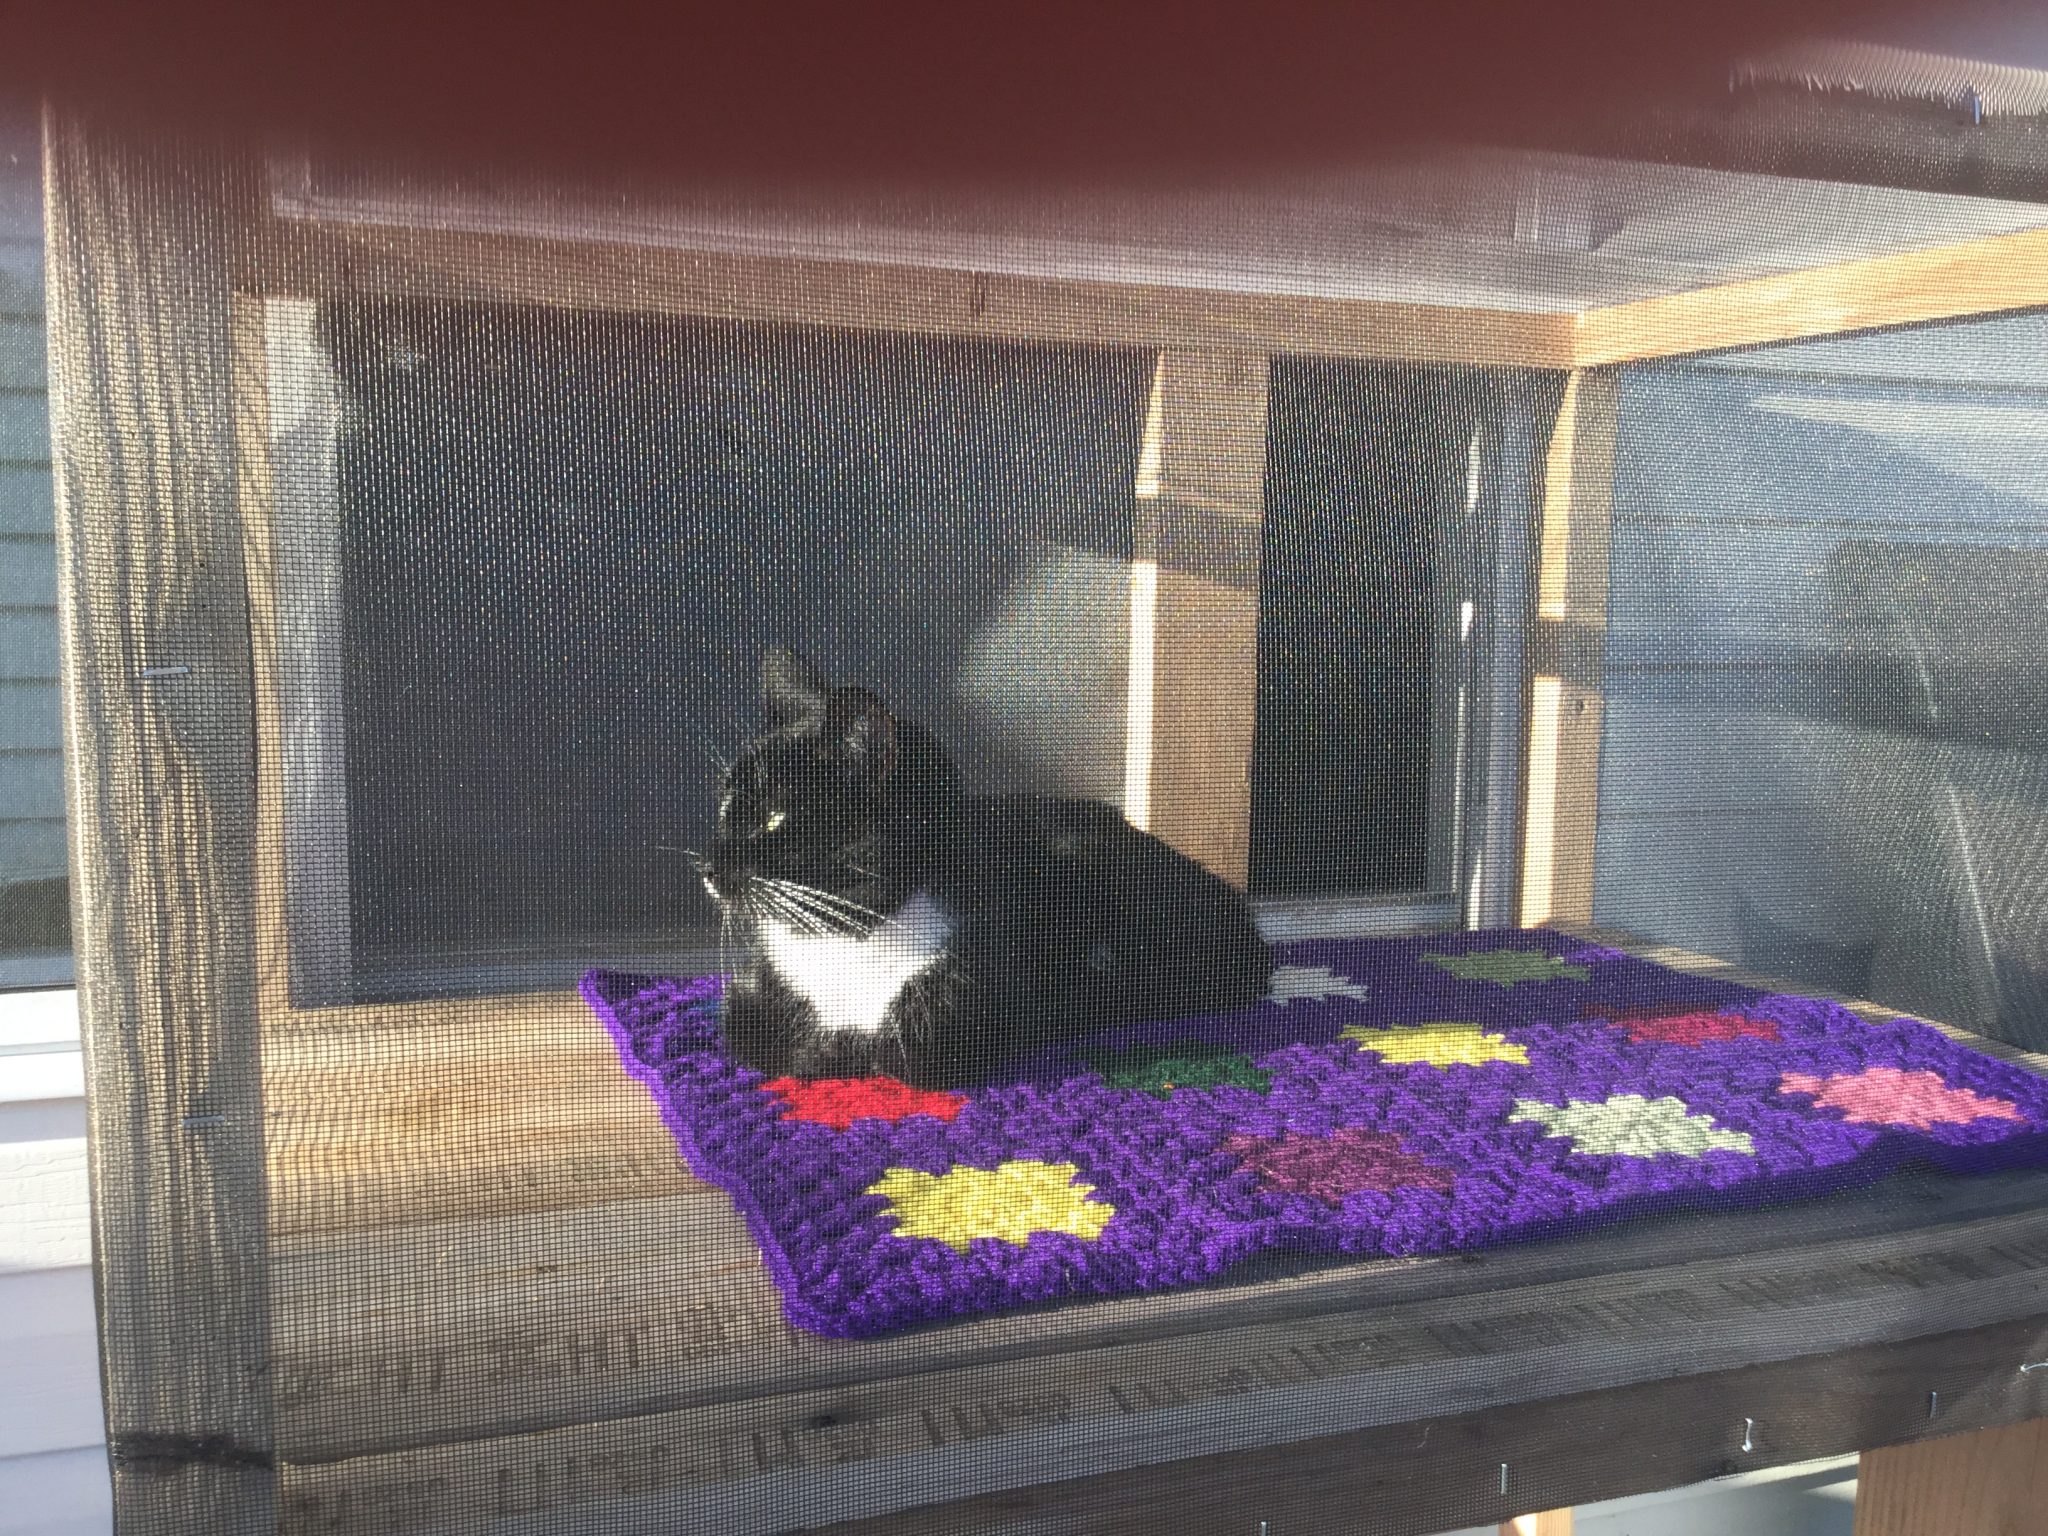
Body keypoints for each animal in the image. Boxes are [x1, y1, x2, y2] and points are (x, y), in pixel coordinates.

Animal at [708, 651, 1277, 1097]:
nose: (710, 867)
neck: (845, 941)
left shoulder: (977, 1004)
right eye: (726, 805)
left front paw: (846, 1048)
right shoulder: (750, 995)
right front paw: (822, 1047)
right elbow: (759, 1040)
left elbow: (909, 1054)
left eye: (774, 817)